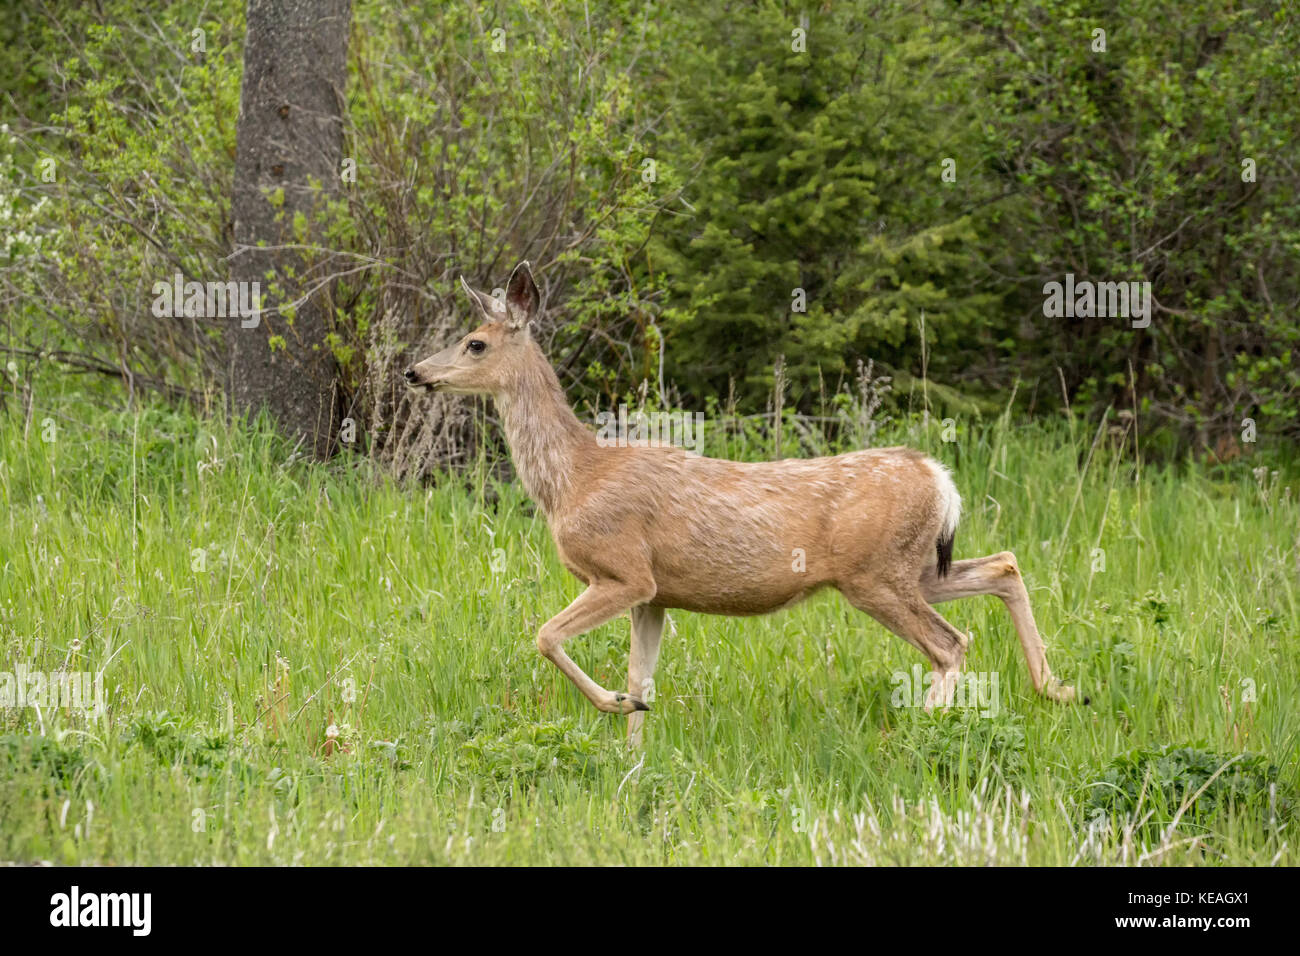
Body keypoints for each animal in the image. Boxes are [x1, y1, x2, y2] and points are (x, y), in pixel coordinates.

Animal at [405, 261, 1076, 749]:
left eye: (474, 343)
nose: (414, 372)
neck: (573, 477)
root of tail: (939, 478)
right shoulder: (655, 595)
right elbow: (640, 674)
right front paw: (632, 753)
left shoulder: (623, 570)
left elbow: (545, 636)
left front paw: (615, 709)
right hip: (911, 566)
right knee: (1004, 566)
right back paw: (1056, 689)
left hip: (875, 575)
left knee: (951, 643)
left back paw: (918, 737)